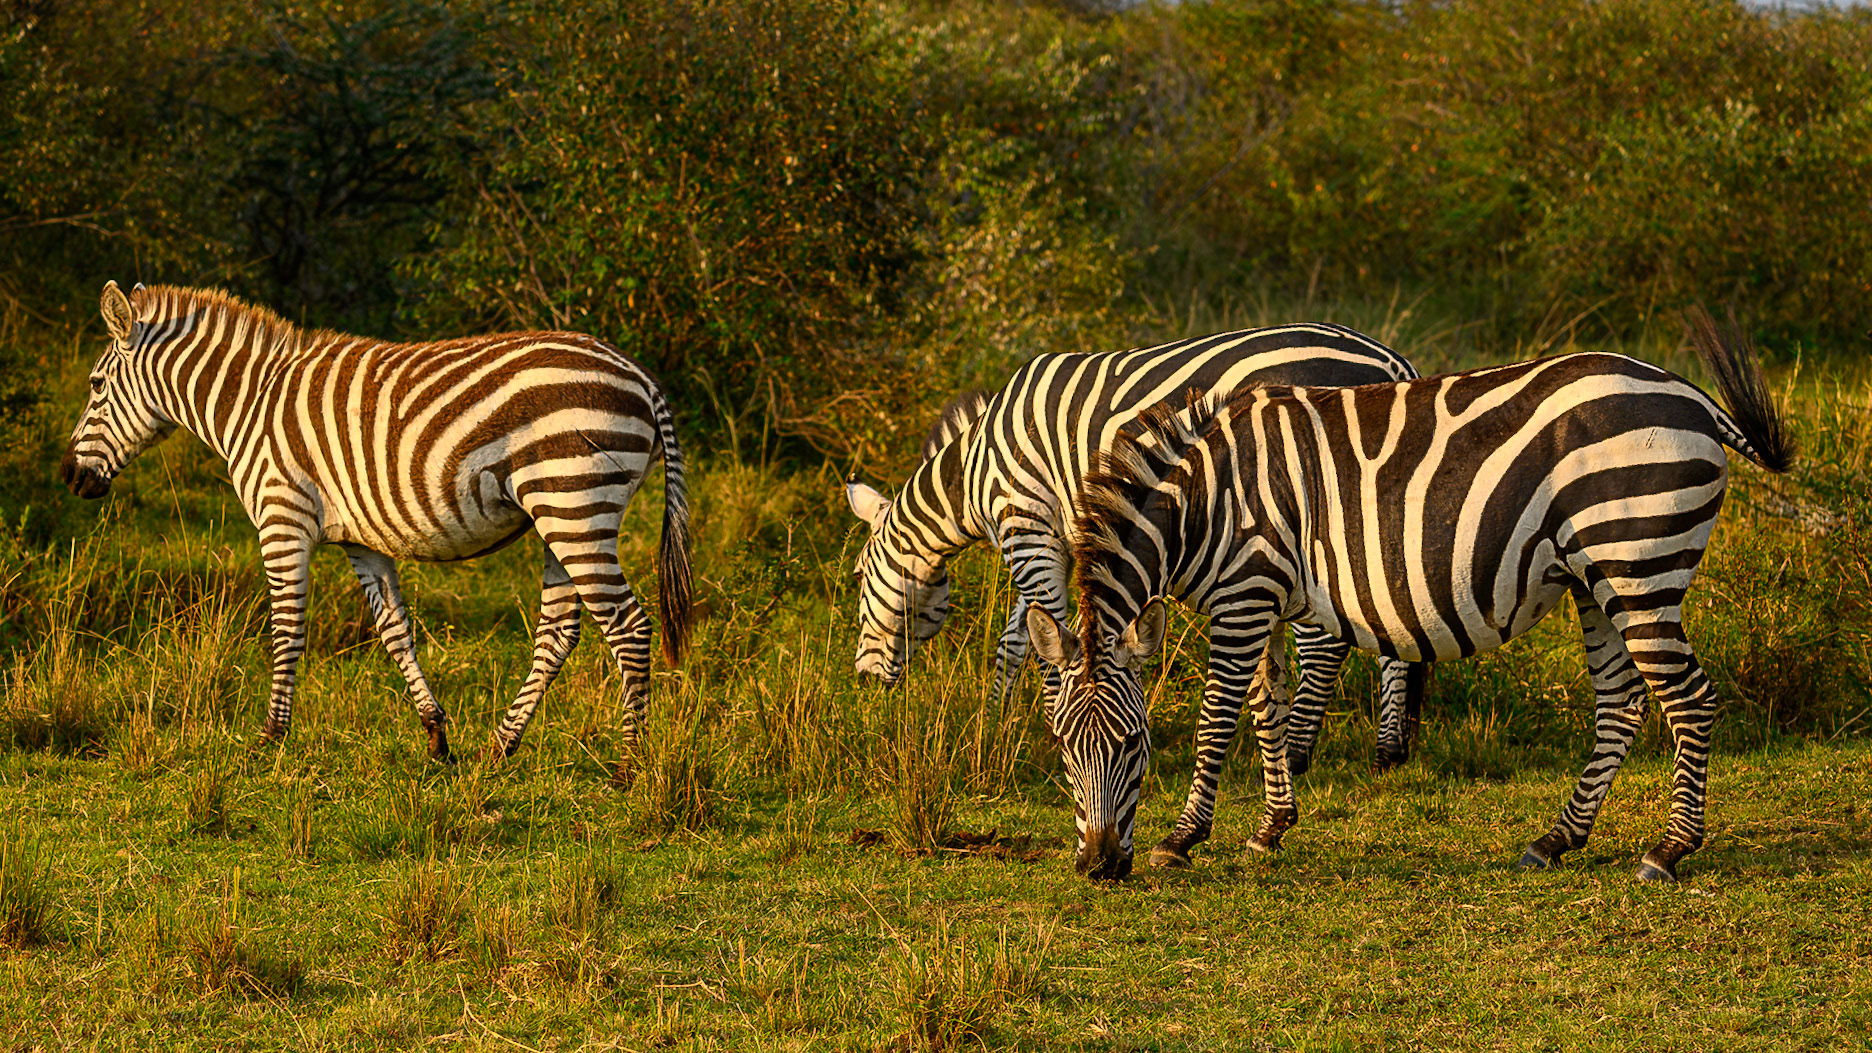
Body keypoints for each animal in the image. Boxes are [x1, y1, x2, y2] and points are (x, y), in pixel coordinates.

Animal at [60, 281, 693, 764]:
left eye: (95, 385)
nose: (69, 476)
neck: (252, 403)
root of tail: (640, 375)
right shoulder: (361, 540)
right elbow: (394, 630)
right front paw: (436, 735)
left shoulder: (282, 518)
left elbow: (286, 628)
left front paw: (271, 737)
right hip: (561, 514)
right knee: (560, 631)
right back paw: (499, 747)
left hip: (573, 504)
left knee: (628, 626)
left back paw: (629, 765)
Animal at [844, 324, 1430, 773]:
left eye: (857, 576)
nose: (864, 685)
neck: (972, 472)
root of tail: (1393, 361)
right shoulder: (1056, 538)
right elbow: (1021, 638)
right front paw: (996, 723)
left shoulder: (1027, 527)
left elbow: (1048, 637)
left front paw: (1057, 723)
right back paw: (1389, 749)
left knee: (1326, 642)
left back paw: (1300, 752)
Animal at [1029, 311, 1792, 882]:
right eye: (1063, 744)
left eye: (1133, 742)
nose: (1098, 866)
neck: (1204, 504)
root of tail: (1689, 395)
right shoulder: (1256, 596)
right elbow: (1267, 707)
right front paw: (1272, 825)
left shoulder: (1245, 592)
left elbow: (1218, 716)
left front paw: (1183, 837)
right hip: (1598, 578)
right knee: (1623, 702)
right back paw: (1556, 838)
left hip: (1639, 563)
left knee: (1689, 698)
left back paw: (1670, 849)